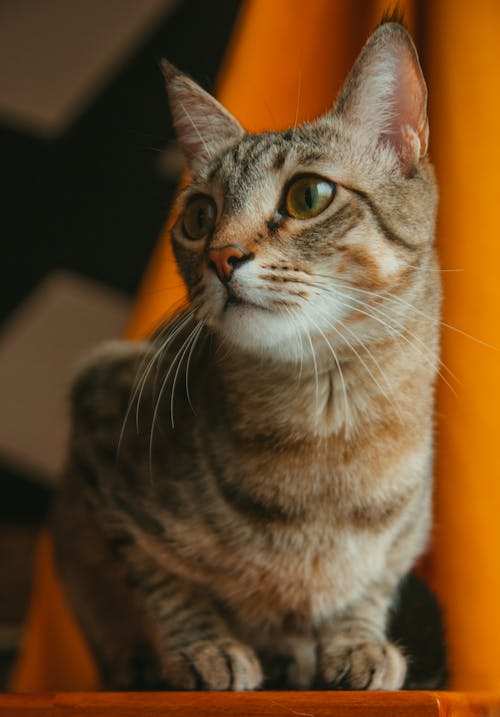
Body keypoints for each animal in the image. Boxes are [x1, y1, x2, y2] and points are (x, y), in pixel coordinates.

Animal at [52, 19, 448, 692]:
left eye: (309, 196)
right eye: (198, 215)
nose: (221, 256)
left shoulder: (408, 534)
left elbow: (369, 586)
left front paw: (355, 642)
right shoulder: (99, 415)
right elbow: (163, 580)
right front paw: (204, 649)